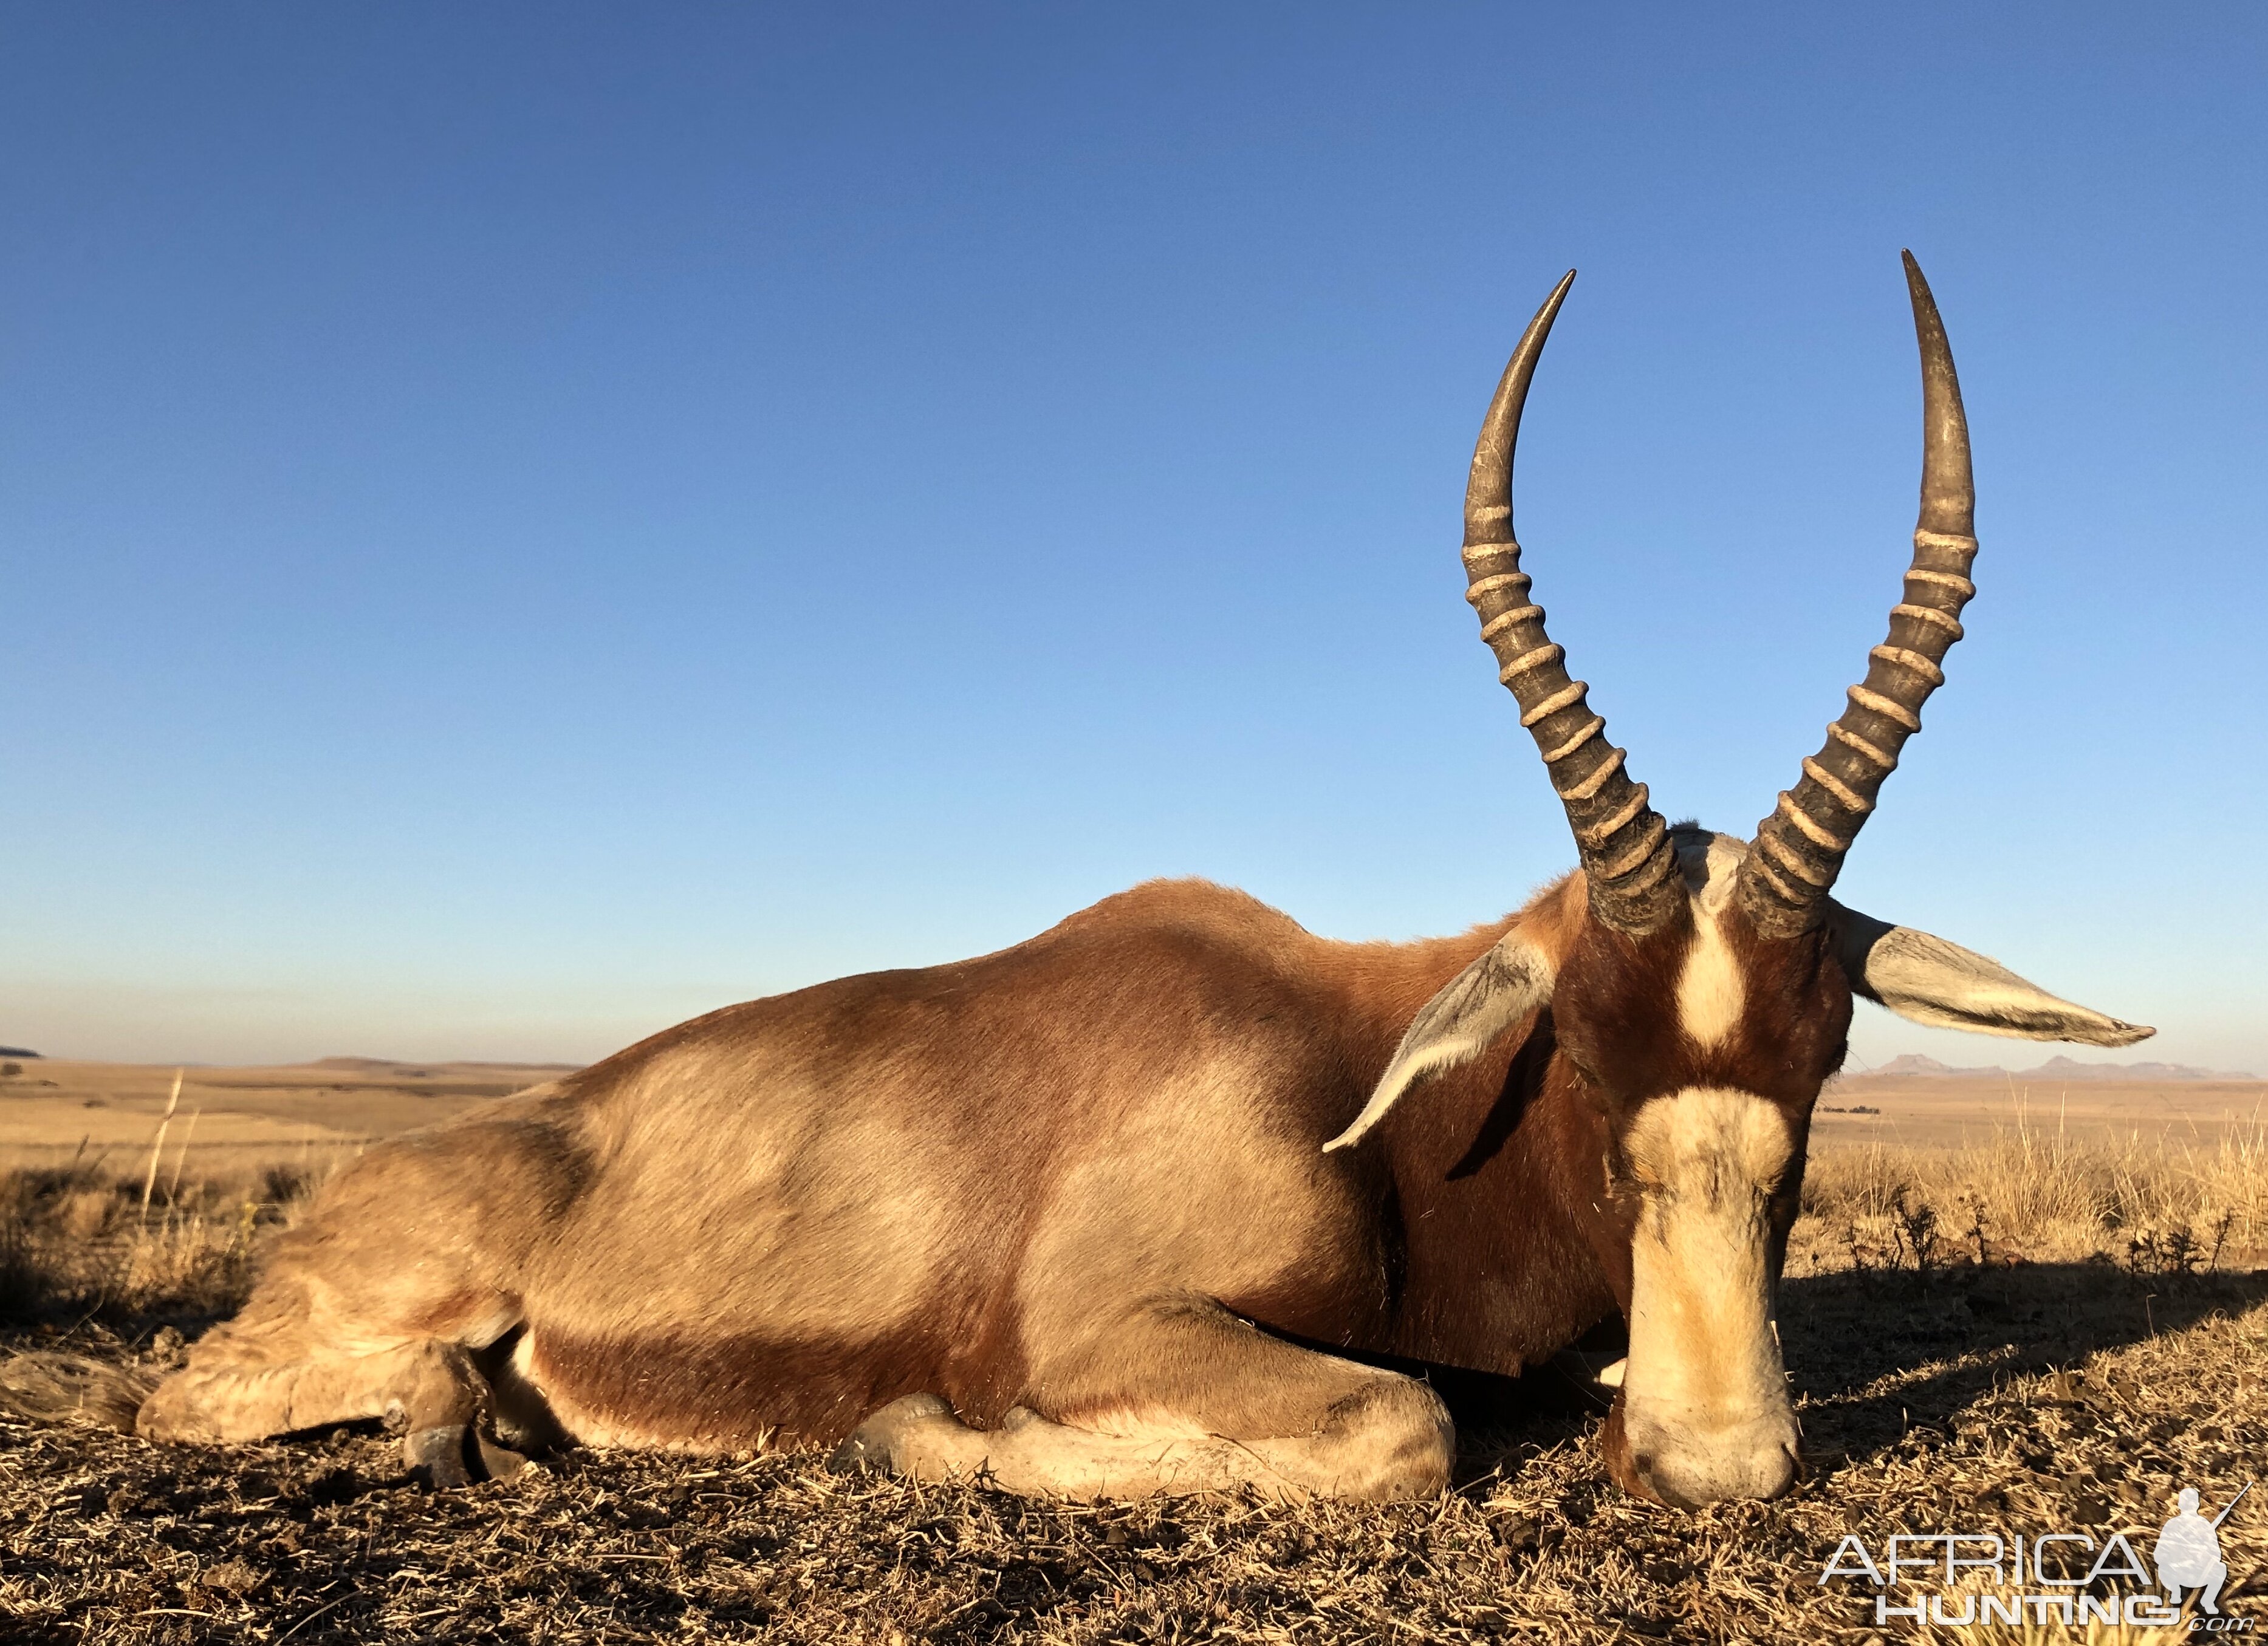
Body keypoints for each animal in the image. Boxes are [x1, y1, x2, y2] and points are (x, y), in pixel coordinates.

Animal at [39, 254, 2140, 1505]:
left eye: (1818, 1055)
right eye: (1588, 1047)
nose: (1716, 1460)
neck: (1359, 1090)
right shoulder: (1119, 1332)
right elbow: (1400, 1419)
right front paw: (917, 1427)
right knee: (197, 1392)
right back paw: (450, 1418)